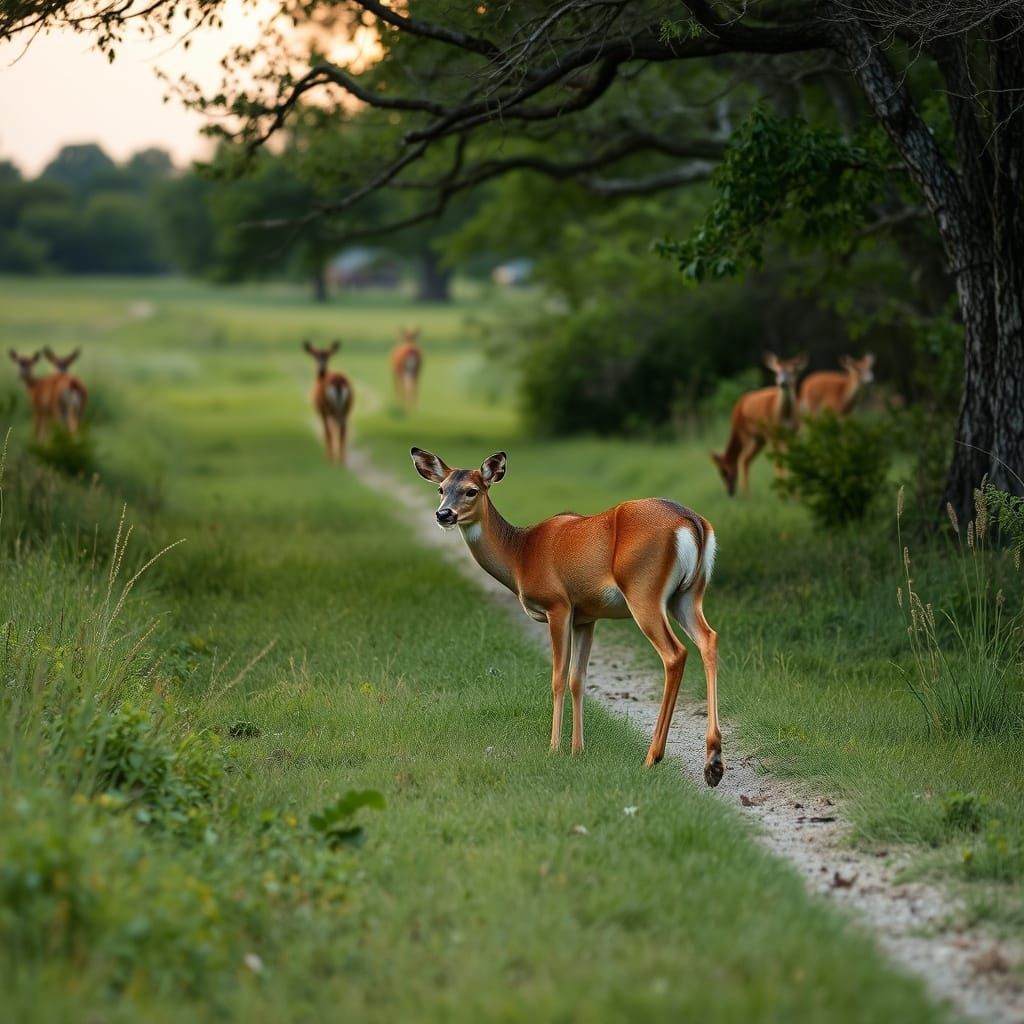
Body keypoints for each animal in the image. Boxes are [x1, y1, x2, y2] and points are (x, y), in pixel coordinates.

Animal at [410, 447, 723, 786]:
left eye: (472, 490)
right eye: (441, 489)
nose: (444, 514)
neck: (520, 557)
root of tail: (694, 522)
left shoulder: (557, 604)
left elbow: (558, 677)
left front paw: (554, 748)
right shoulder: (586, 616)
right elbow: (578, 678)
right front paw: (577, 750)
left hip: (644, 591)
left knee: (675, 653)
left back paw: (654, 757)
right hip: (688, 595)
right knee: (709, 639)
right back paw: (713, 763)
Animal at [710, 352, 807, 497]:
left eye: (724, 472)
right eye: (777, 371)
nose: (730, 492)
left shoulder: (793, 433)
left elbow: (789, 459)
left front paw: (793, 492)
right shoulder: (771, 435)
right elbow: (781, 461)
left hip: (755, 438)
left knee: (745, 459)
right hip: (755, 437)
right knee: (745, 459)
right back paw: (747, 494)